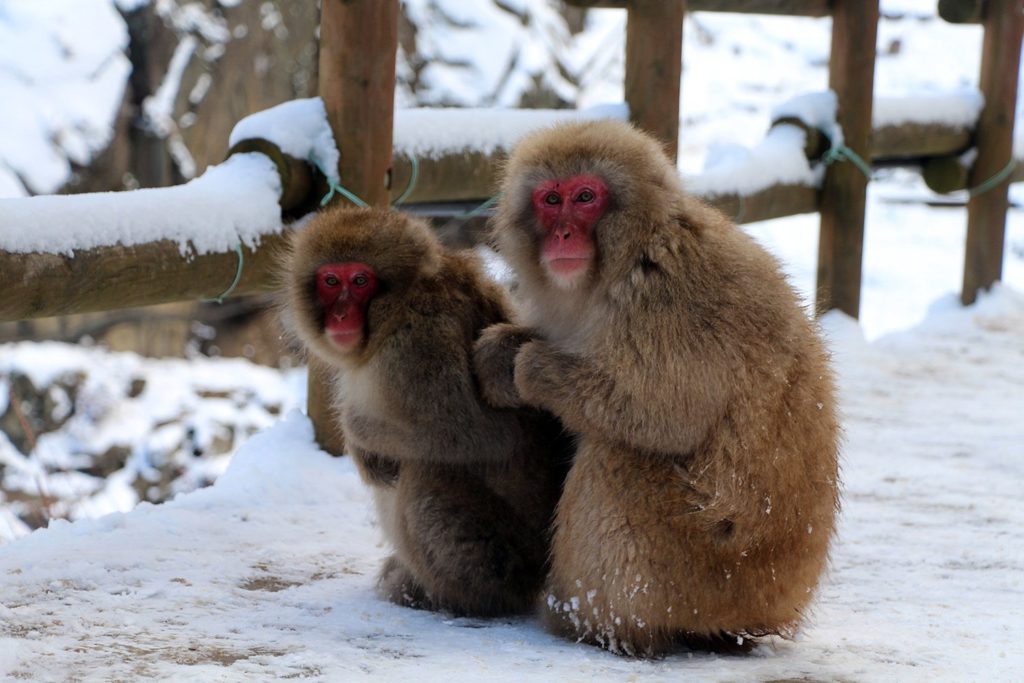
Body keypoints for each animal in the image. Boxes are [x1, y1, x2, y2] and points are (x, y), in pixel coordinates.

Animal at [282, 205, 569, 618]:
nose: (340, 315)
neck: (394, 310)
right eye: (331, 281)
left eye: (360, 280)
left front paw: (357, 434)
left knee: (425, 468)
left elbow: (477, 434)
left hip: (494, 561)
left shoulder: (419, 341)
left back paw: (447, 597)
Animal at [473, 121, 839, 655]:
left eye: (586, 197)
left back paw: (595, 623)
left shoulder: (667, 296)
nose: (563, 234)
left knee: (618, 458)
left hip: (710, 565)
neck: (622, 262)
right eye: (551, 199)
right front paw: (503, 354)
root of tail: (781, 604)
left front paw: (532, 367)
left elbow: (665, 415)